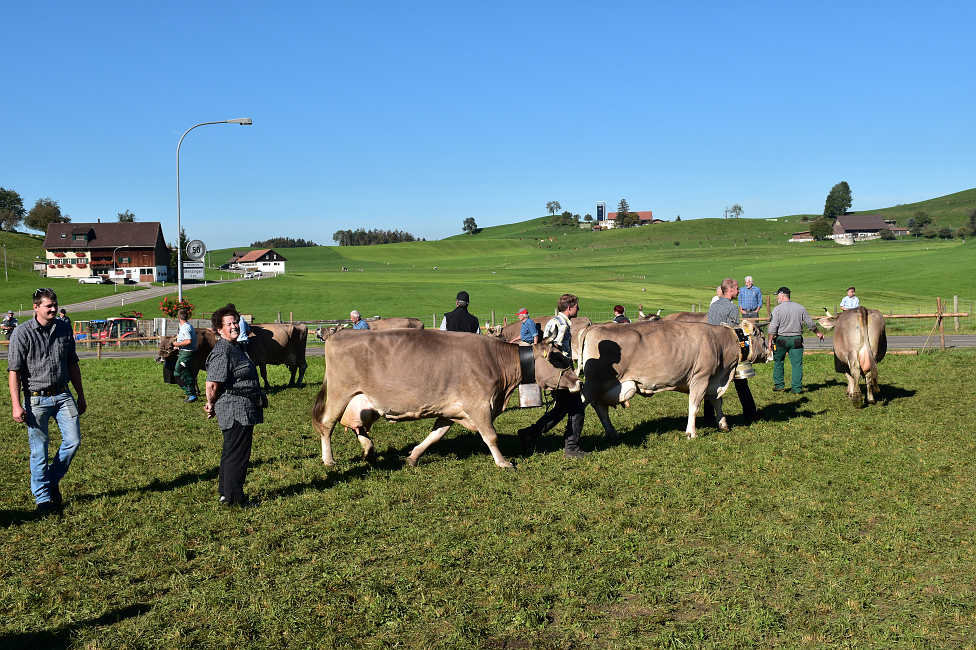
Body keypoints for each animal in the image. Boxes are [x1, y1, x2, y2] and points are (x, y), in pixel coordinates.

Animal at [312, 330, 580, 466]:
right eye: (558, 357)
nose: (578, 382)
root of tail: (338, 335)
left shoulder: (450, 410)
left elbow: (435, 436)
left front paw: (413, 457)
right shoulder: (479, 405)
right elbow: (491, 436)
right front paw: (503, 462)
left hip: (364, 403)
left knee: (357, 426)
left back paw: (369, 451)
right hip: (340, 393)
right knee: (326, 425)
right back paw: (329, 460)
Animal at [580, 320, 772, 440]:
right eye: (763, 338)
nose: (771, 353)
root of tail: (595, 326)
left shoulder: (714, 380)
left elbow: (718, 402)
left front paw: (723, 424)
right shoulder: (700, 378)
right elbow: (694, 406)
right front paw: (691, 433)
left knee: (601, 408)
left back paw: (612, 433)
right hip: (593, 383)